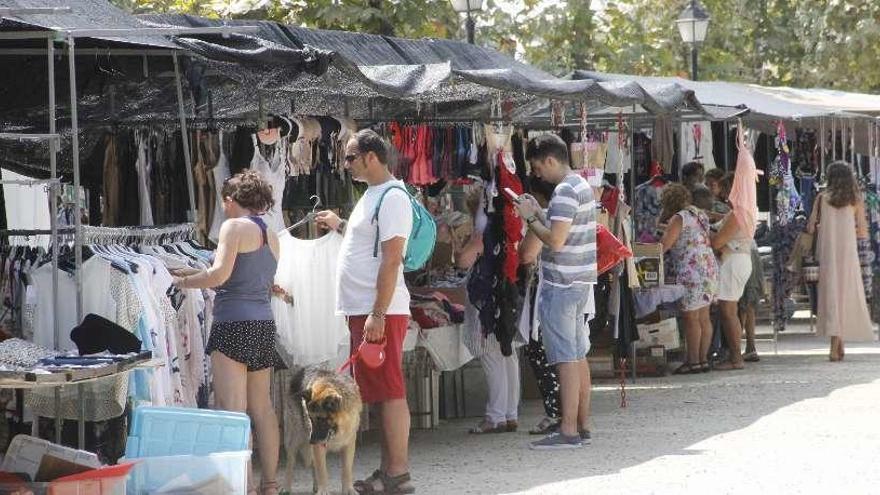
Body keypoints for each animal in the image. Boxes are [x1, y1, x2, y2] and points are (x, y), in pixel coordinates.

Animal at [284, 366, 362, 494]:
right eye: (310, 418)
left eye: (321, 419)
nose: (311, 441)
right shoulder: (318, 446)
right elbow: (322, 471)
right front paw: (323, 491)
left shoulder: (349, 444)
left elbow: (347, 470)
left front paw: (349, 489)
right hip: (295, 438)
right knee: (290, 462)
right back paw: (286, 488)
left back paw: (315, 486)